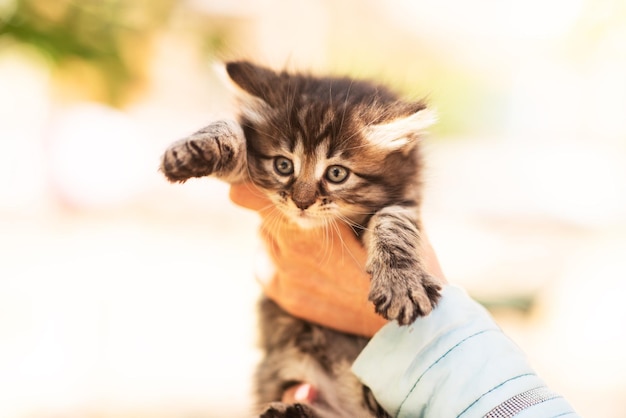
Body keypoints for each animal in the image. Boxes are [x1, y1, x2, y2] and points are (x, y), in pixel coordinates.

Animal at [160, 60, 438, 416]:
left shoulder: (404, 199)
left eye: (337, 173)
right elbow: (233, 133)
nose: (301, 202)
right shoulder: (252, 174)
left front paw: (402, 282)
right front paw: (199, 148)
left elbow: (393, 224)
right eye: (283, 165)